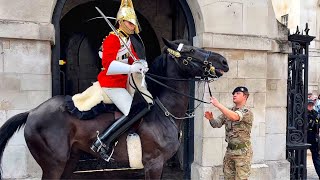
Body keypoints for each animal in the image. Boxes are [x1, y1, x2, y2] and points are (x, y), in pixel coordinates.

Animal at [0, 38, 228, 179]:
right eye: (190, 51)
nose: (224, 61)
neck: (164, 111)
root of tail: (32, 112)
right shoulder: (154, 164)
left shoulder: (160, 165)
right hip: (54, 165)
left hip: (70, 160)